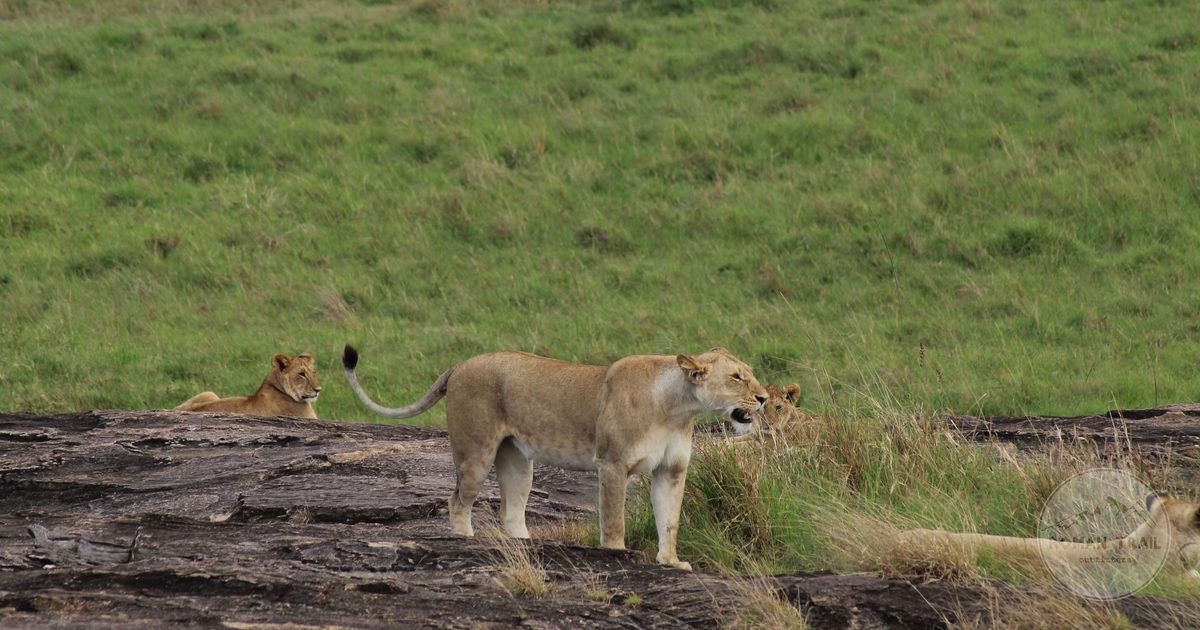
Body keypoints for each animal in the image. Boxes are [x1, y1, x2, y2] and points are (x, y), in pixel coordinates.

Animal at [341, 344, 768, 570]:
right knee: (457, 499)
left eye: (750, 373)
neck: (678, 409)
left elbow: (671, 520)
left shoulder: (672, 470)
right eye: (737, 377)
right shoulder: (612, 464)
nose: (764, 398)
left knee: (511, 511)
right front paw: (617, 554)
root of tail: (460, 364)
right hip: (476, 451)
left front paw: (670, 561)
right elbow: (614, 518)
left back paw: (526, 546)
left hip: (518, 462)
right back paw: (465, 539)